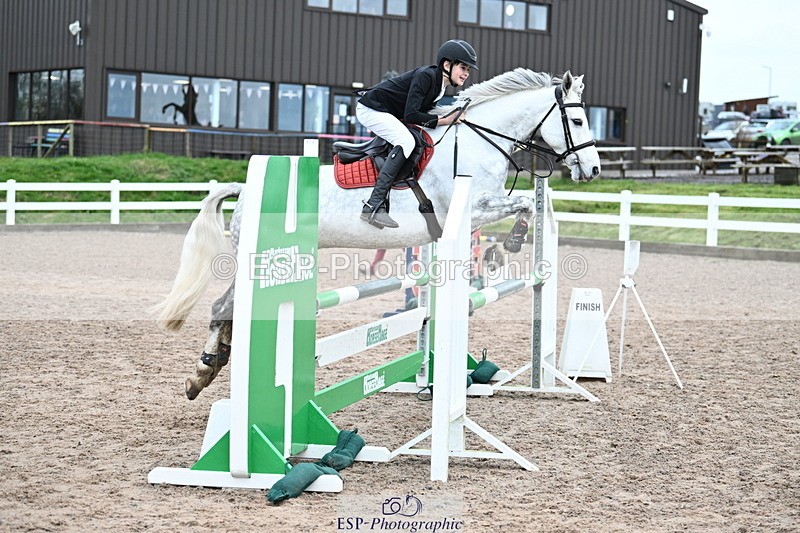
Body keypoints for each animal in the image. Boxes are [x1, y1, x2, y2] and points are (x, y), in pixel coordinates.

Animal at [153, 68, 602, 399]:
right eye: (578, 120)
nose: (594, 170)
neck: (478, 142)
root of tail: (246, 190)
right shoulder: (472, 207)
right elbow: (525, 202)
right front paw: (510, 243)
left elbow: (526, 203)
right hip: (263, 262)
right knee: (223, 307)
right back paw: (202, 374)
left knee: (228, 310)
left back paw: (209, 369)